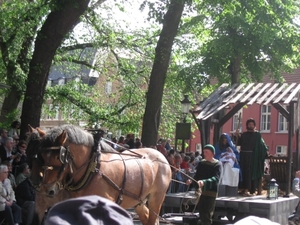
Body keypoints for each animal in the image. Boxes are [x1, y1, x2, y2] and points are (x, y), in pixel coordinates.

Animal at [27, 125, 172, 225]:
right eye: (42, 155)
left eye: (59, 157)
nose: (46, 189)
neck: (92, 168)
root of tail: (160, 156)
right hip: (139, 201)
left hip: (157, 198)